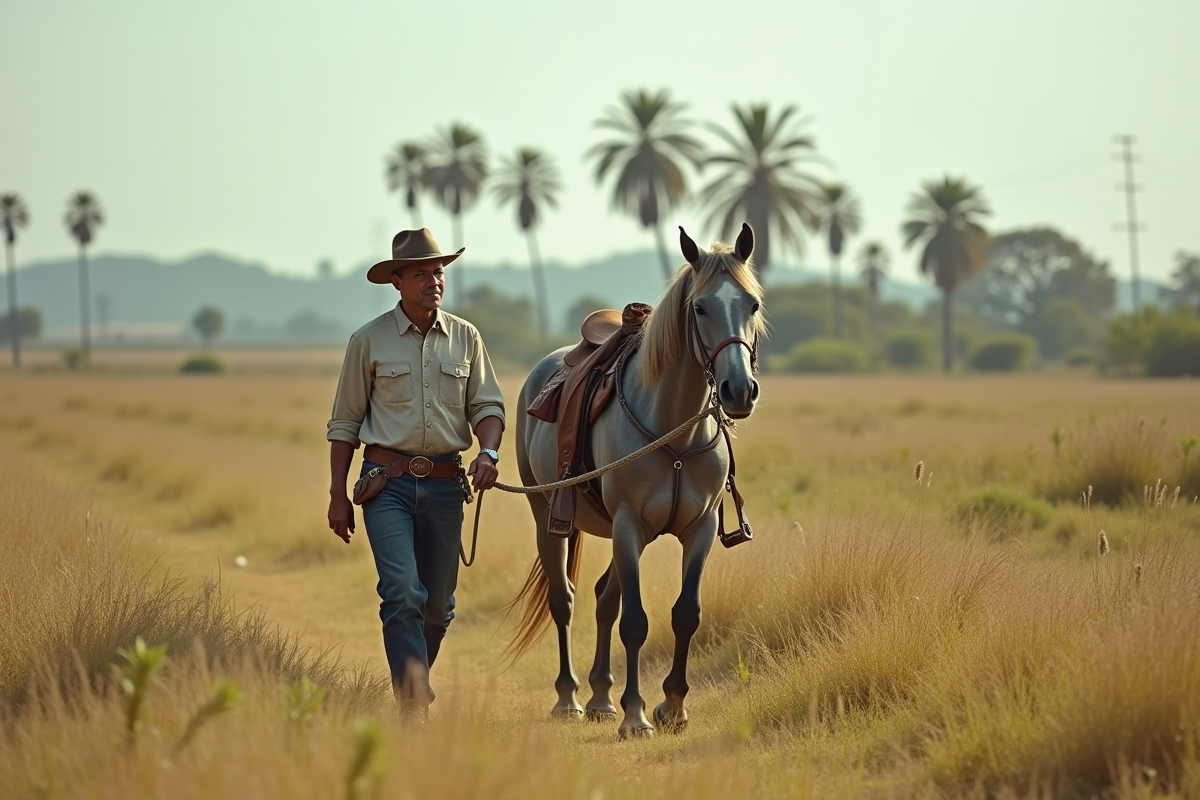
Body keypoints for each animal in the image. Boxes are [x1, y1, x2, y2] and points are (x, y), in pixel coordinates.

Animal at [507, 223, 764, 739]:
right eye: (700, 307)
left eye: (752, 304)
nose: (739, 391)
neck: (675, 431)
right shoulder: (628, 526)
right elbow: (635, 623)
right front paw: (635, 715)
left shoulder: (700, 529)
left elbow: (685, 615)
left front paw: (674, 708)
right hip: (549, 518)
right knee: (564, 600)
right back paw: (570, 699)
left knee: (604, 597)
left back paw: (600, 697)